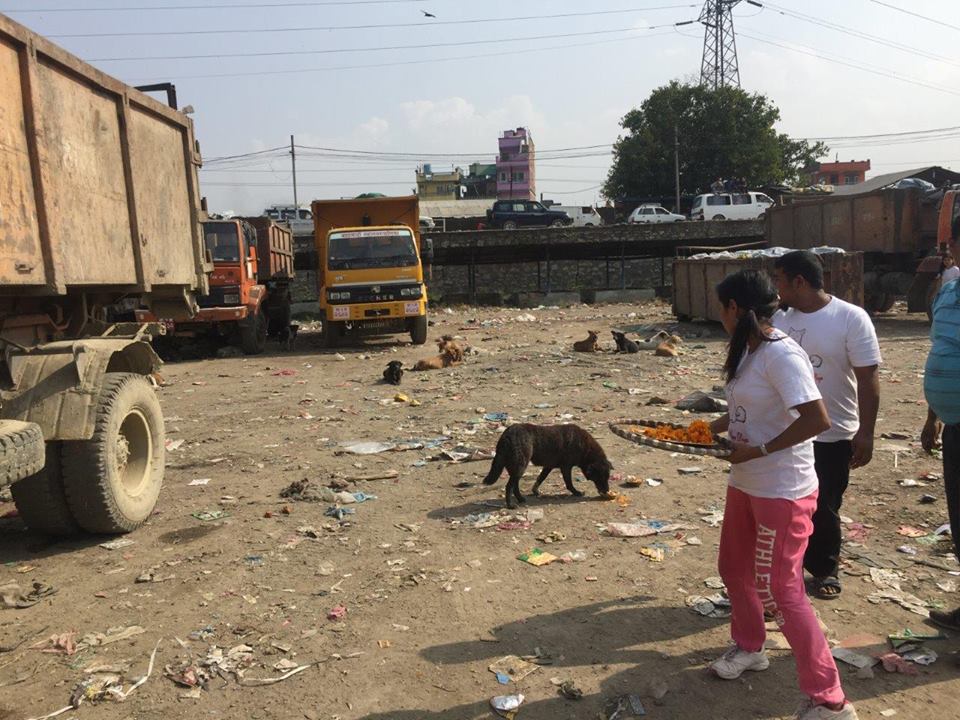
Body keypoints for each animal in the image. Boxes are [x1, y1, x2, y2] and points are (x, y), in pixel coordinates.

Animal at [482, 423, 612, 509]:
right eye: (600, 477)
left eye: (607, 477)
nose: (607, 491)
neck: (585, 448)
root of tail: (507, 434)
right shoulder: (566, 467)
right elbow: (569, 483)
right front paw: (576, 492)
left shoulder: (548, 466)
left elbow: (540, 478)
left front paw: (535, 491)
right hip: (520, 466)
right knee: (509, 486)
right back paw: (510, 505)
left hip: (517, 467)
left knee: (515, 485)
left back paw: (520, 499)